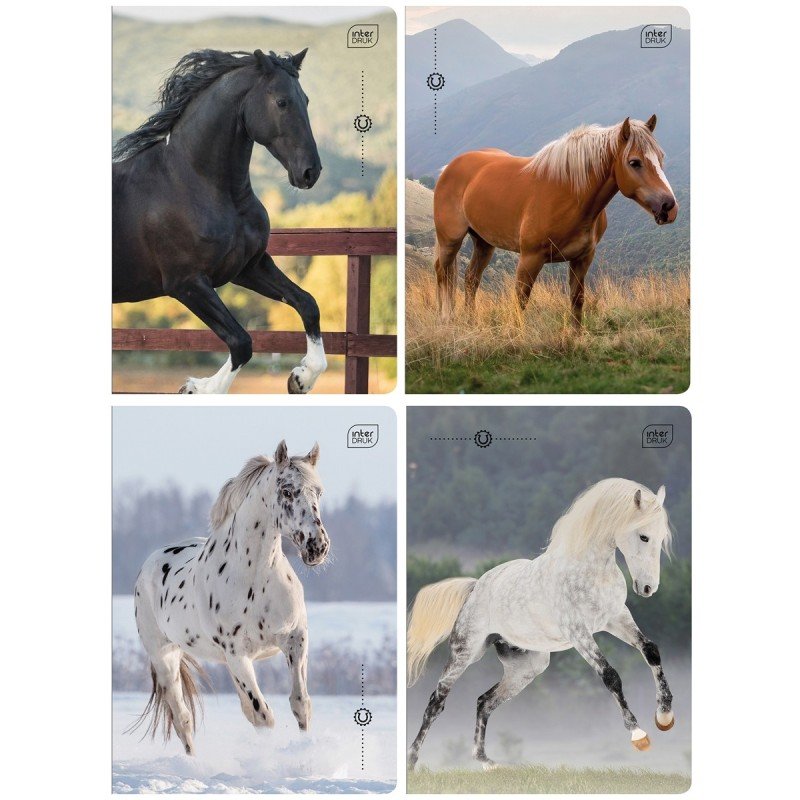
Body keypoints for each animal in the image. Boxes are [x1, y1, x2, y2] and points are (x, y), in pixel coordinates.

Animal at [113, 49, 327, 394]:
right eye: (282, 102)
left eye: (305, 100)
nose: (310, 172)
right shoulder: (186, 283)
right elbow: (241, 342)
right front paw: (194, 388)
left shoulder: (247, 267)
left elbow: (308, 303)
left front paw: (301, 378)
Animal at [129, 441, 330, 755]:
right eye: (287, 491)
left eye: (318, 492)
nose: (317, 546)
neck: (255, 579)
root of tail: (150, 562)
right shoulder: (238, 654)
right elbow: (263, 715)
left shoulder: (295, 639)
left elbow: (300, 704)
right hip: (165, 657)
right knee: (183, 718)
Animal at [406, 478, 676, 770]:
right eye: (643, 536)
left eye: (661, 538)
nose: (648, 588)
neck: (590, 570)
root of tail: (475, 587)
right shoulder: (578, 632)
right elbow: (610, 675)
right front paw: (639, 735)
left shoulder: (616, 618)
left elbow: (650, 650)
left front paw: (664, 717)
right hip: (465, 653)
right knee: (436, 702)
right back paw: (412, 761)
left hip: (528, 667)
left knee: (484, 701)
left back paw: (486, 761)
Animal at [432, 117, 679, 326]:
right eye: (634, 162)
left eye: (660, 158)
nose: (669, 207)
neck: (568, 193)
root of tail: (450, 167)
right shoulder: (530, 258)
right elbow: (521, 300)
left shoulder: (582, 259)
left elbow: (577, 300)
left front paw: (575, 338)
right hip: (450, 241)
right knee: (442, 274)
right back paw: (445, 319)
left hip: (484, 243)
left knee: (471, 279)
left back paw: (470, 322)